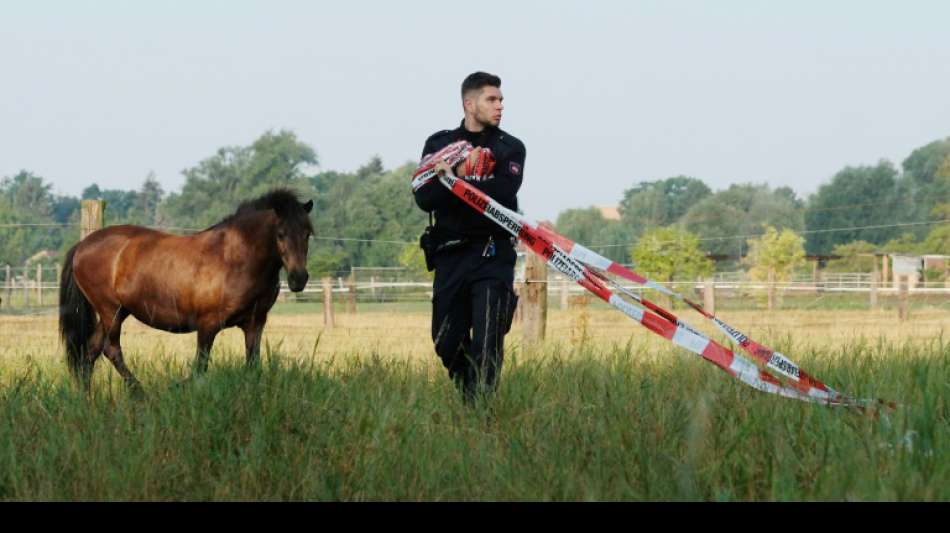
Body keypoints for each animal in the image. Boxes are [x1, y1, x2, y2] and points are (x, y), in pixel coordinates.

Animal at [57, 189, 314, 392]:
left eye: (307, 234)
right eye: (280, 234)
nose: (298, 279)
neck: (236, 259)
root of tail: (82, 246)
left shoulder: (254, 323)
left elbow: (253, 366)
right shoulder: (208, 325)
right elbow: (200, 368)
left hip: (116, 312)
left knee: (90, 352)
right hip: (111, 311)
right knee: (111, 350)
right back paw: (141, 394)